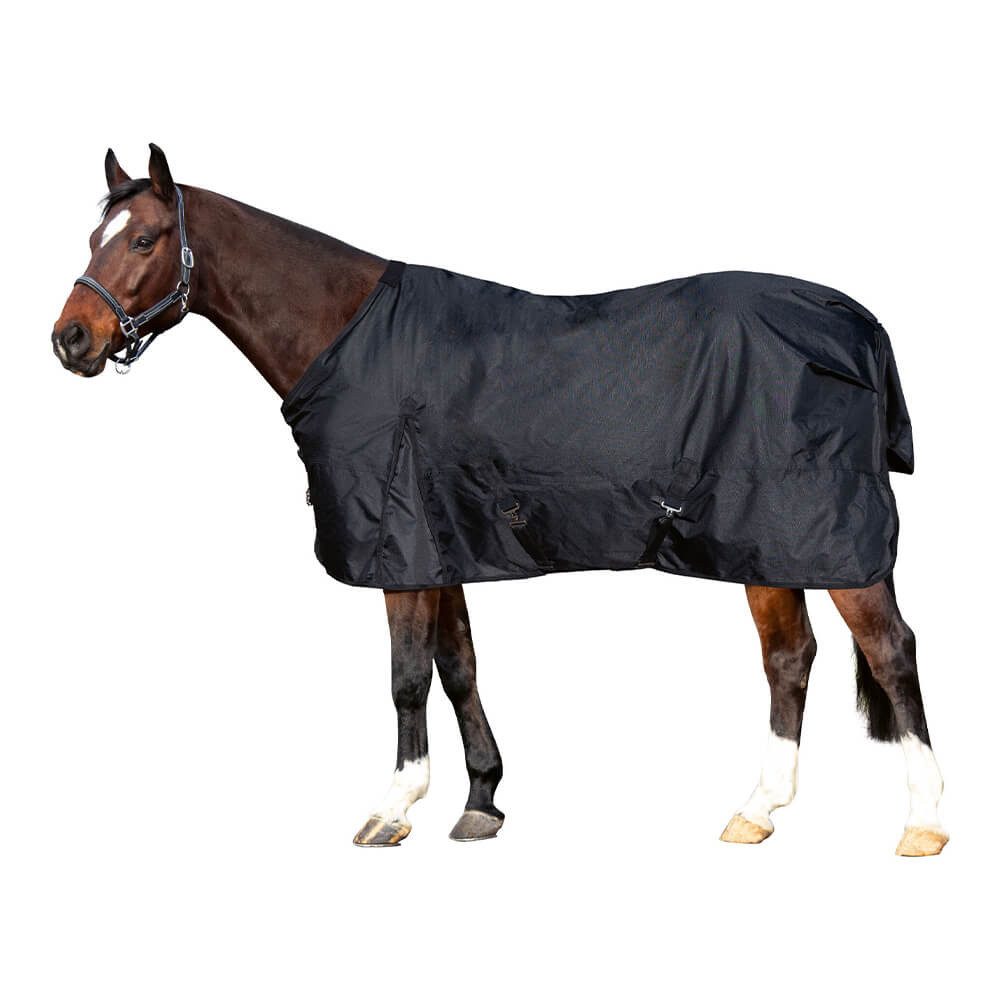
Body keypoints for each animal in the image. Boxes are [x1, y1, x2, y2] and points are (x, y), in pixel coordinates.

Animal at [51, 144, 947, 856]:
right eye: (95, 237)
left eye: (143, 238)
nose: (71, 339)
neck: (352, 338)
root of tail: (854, 320)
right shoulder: (441, 541)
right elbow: (458, 668)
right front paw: (482, 800)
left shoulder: (401, 547)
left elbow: (406, 676)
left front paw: (393, 807)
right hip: (769, 543)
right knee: (789, 658)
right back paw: (758, 810)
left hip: (833, 541)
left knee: (890, 651)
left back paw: (924, 823)